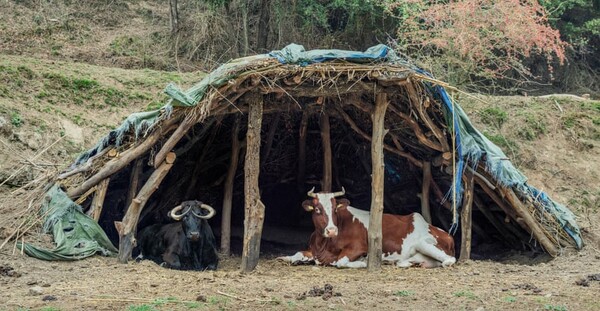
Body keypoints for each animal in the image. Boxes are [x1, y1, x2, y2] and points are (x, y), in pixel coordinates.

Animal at [278, 189, 458, 270]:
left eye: (335, 209)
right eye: (317, 209)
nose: (331, 230)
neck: (324, 244)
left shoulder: (359, 247)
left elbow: (339, 262)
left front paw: (362, 262)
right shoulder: (313, 249)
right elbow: (297, 253)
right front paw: (286, 257)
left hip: (425, 243)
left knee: (449, 260)